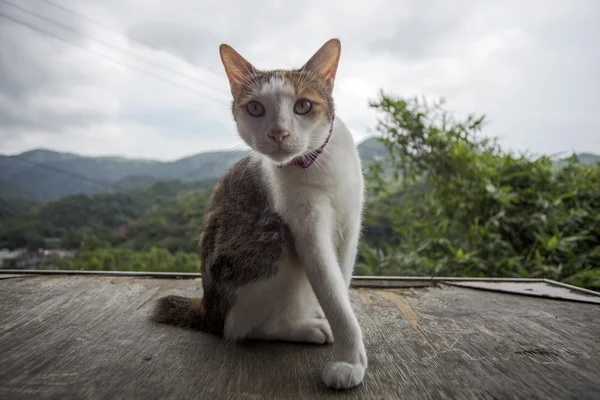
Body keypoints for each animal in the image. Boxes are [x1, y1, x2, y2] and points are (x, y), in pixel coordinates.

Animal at [152, 38, 366, 390]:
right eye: (255, 108)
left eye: (303, 106)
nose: (278, 133)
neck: (318, 165)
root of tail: (207, 307)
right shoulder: (306, 227)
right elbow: (330, 289)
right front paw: (350, 360)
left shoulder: (350, 221)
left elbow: (341, 280)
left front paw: (348, 342)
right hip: (268, 239)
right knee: (238, 327)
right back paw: (304, 327)